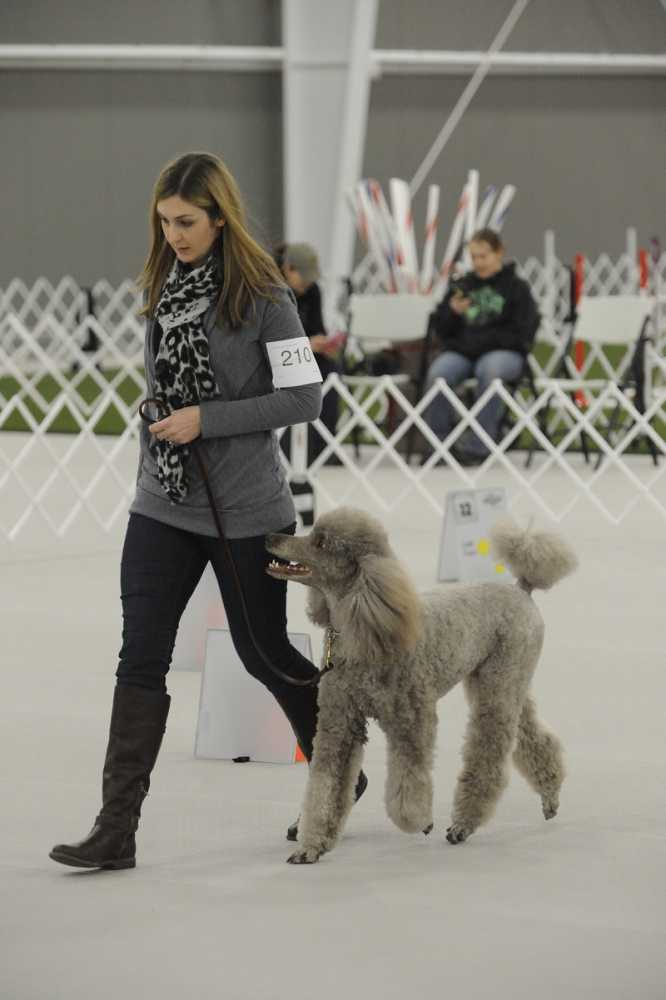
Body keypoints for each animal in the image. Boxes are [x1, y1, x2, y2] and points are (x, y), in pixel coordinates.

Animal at [266, 507, 577, 864]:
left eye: (321, 542)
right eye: (313, 531)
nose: (270, 537)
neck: (364, 630)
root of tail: (521, 590)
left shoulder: (411, 720)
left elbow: (407, 785)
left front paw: (420, 821)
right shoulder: (338, 723)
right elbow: (325, 785)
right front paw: (311, 847)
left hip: (499, 685)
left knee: (490, 750)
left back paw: (463, 825)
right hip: (505, 681)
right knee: (533, 737)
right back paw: (550, 795)